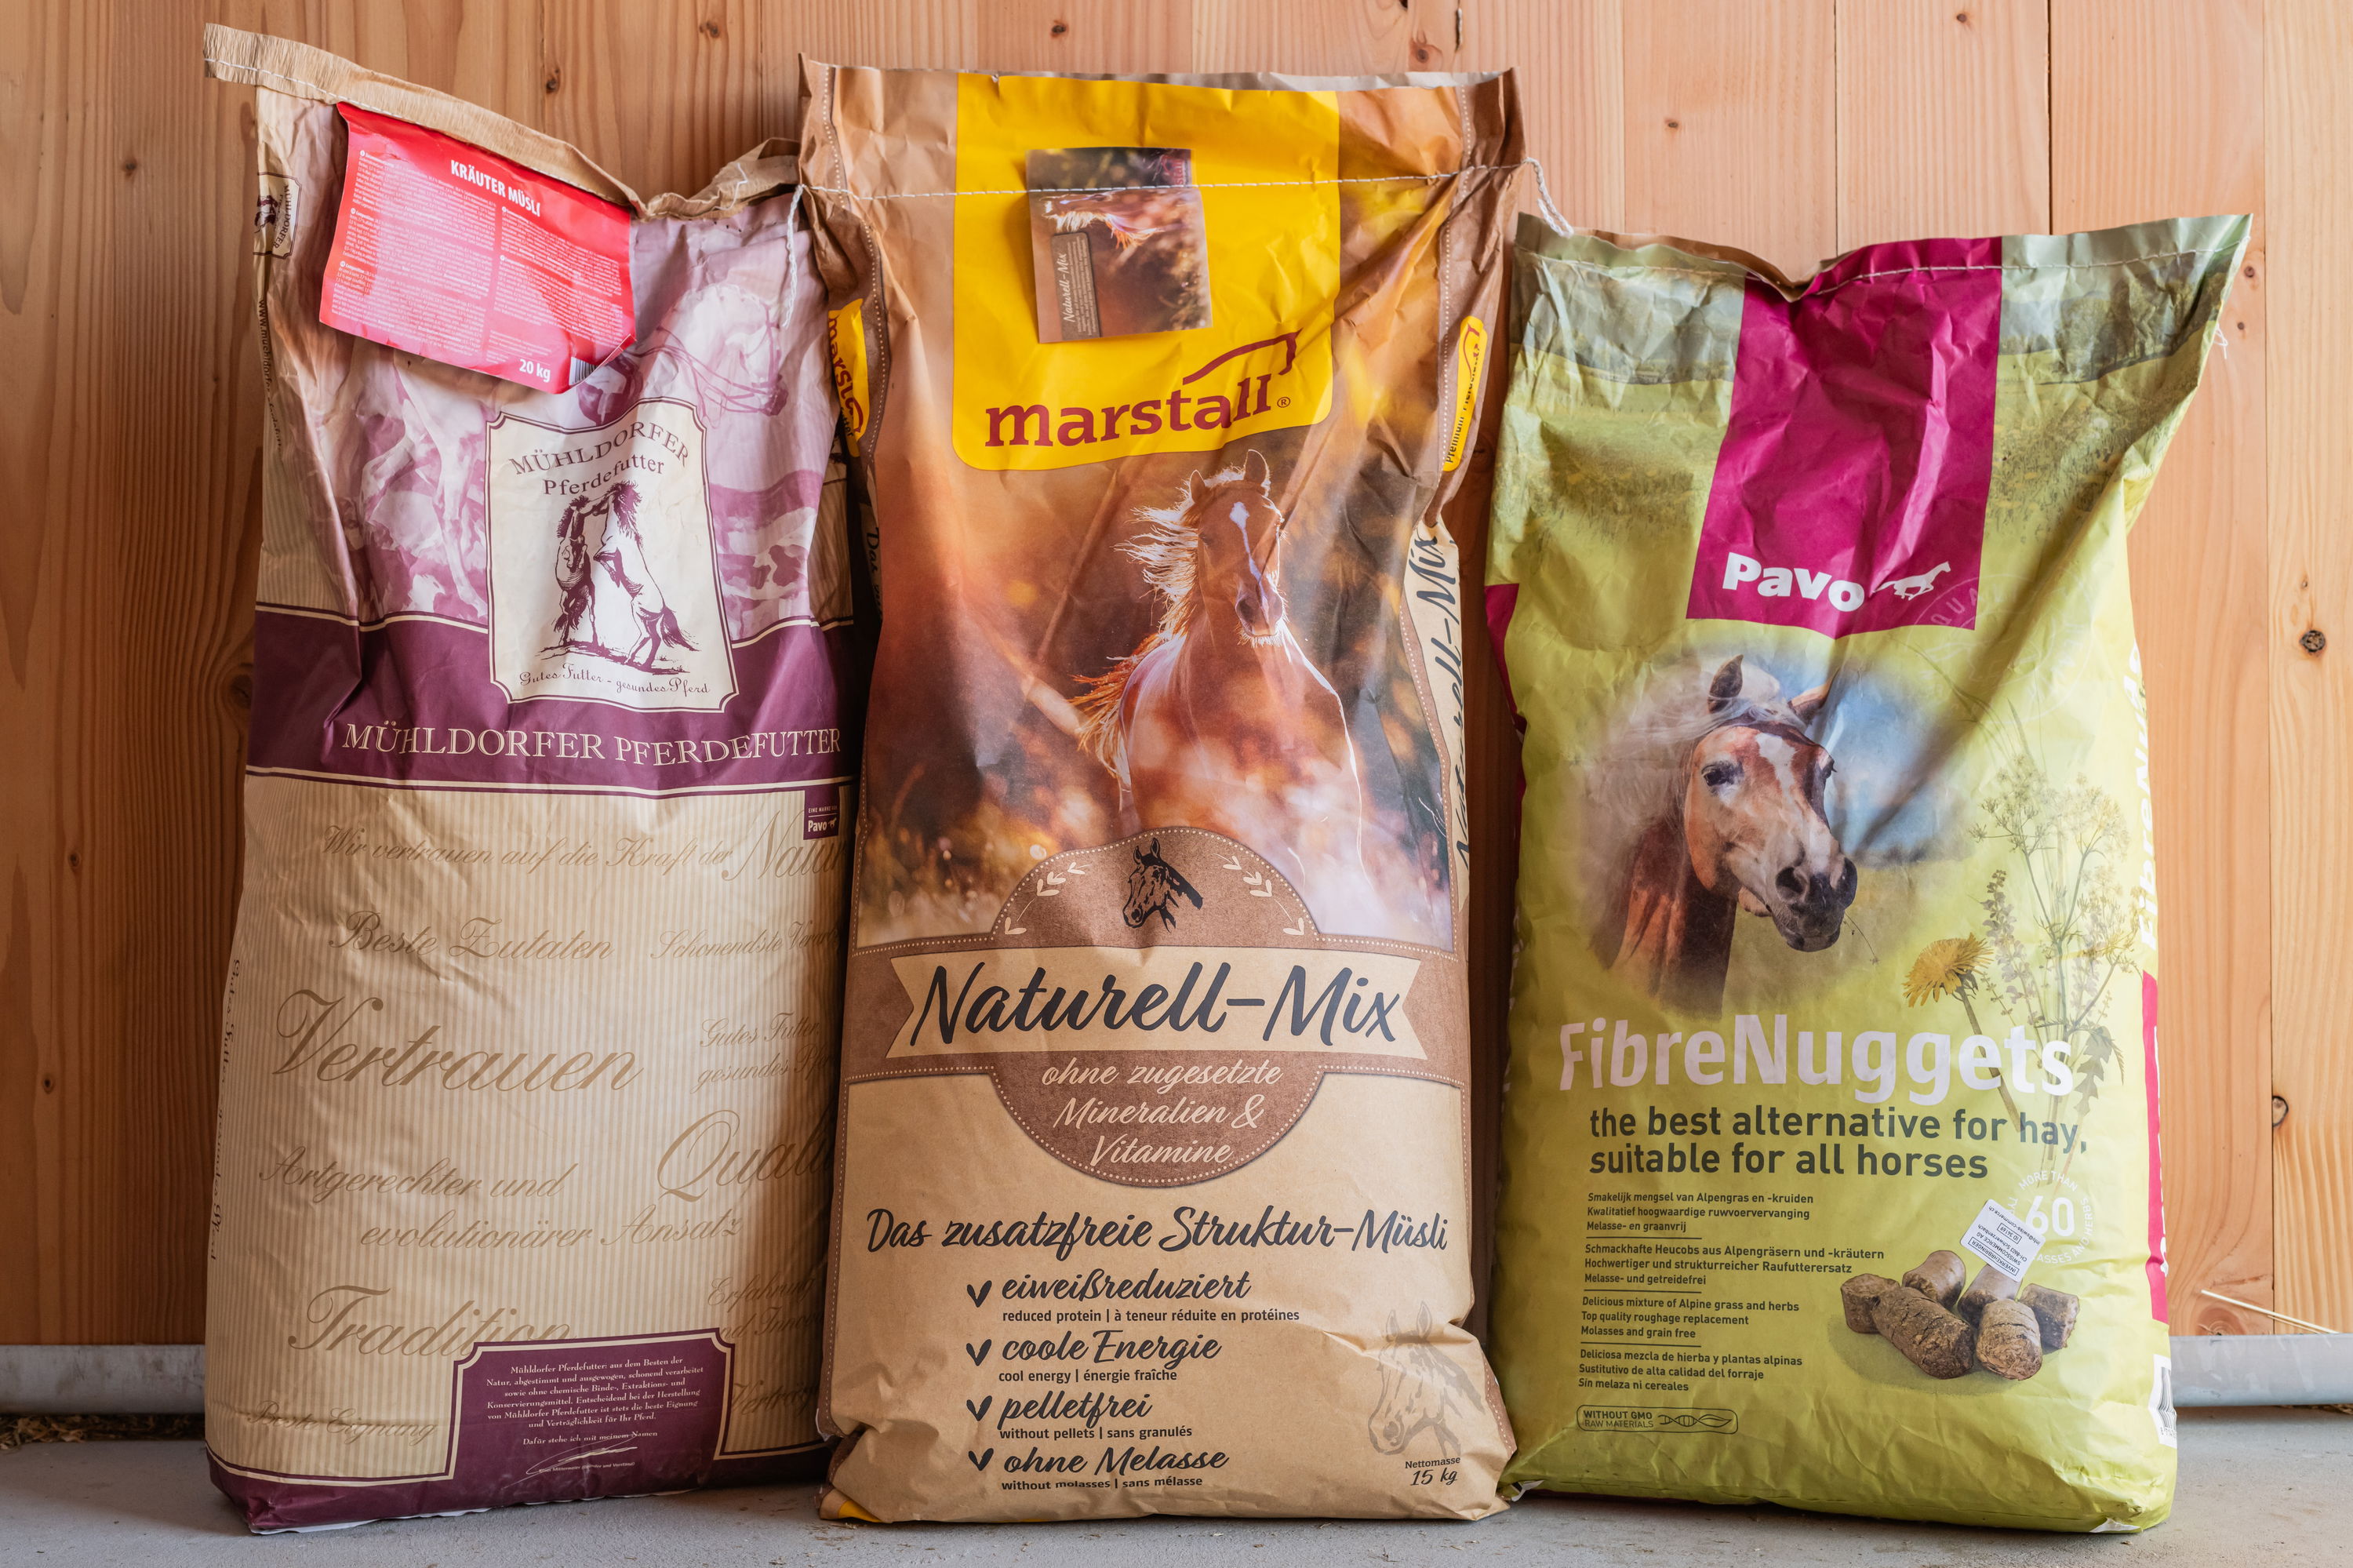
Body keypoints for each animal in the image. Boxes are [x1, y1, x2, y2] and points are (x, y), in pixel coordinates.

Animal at [545, 481, 696, 673]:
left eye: (602, 503)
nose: (596, 509)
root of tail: (662, 609)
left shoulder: (609, 550)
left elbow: (599, 557)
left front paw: (614, 576)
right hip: (649, 621)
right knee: (655, 640)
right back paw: (643, 664)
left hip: (637, 612)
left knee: (646, 636)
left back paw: (628, 660)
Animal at [1073, 452, 1380, 934]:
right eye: (1208, 537)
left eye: (1276, 524)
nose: (1260, 610)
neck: (1268, 707)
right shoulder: (1249, 818)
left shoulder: (1337, 804)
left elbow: (1351, 879)